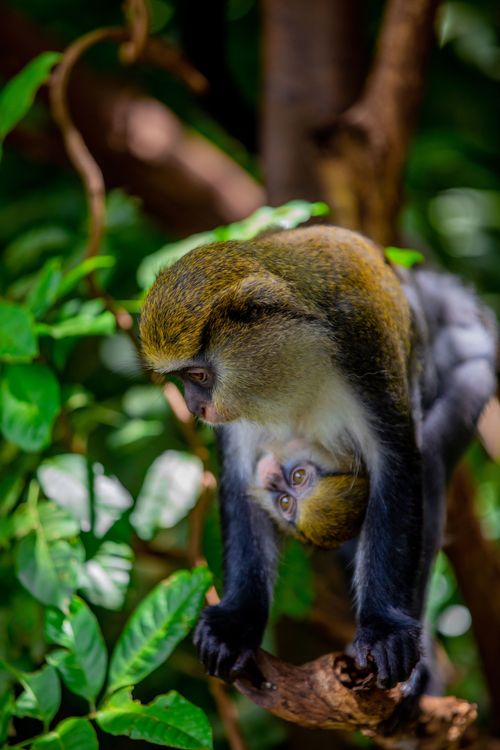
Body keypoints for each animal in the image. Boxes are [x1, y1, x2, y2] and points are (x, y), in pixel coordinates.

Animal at [140, 225, 498, 698]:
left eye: (197, 375)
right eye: (183, 379)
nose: (195, 406)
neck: (288, 365)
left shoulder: (362, 350)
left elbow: (398, 464)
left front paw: (384, 630)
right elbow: (239, 485)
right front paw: (236, 624)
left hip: (470, 372)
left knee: (433, 457)